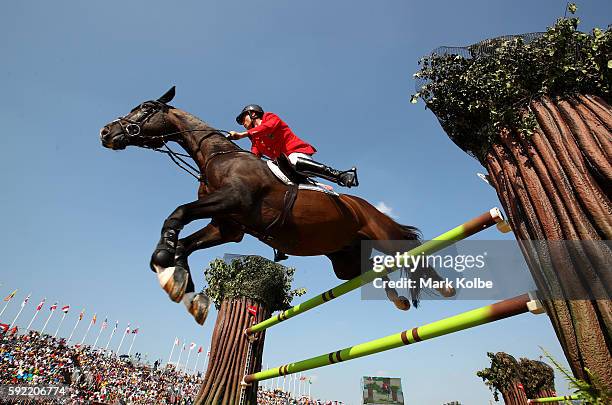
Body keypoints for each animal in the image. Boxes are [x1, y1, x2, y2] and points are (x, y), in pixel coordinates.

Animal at [99, 87, 454, 324]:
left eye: (145, 108)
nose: (106, 132)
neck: (218, 157)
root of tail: (366, 207)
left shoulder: (233, 201)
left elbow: (177, 213)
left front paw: (162, 258)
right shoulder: (226, 226)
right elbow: (186, 243)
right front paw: (180, 284)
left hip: (380, 232)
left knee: (409, 248)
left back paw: (444, 285)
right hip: (345, 258)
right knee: (372, 268)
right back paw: (399, 299)